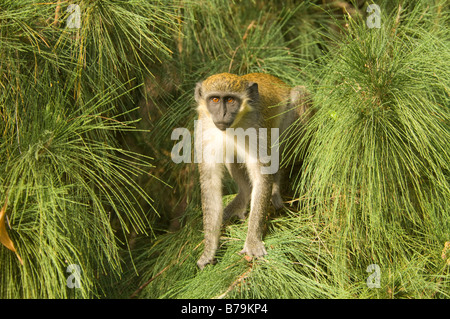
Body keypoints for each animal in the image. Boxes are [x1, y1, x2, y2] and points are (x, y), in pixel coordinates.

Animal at [193, 73, 310, 270]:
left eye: (230, 100)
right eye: (215, 99)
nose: (222, 114)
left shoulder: (256, 127)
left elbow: (261, 176)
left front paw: (253, 241)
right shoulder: (203, 128)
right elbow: (210, 183)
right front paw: (209, 249)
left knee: (298, 96)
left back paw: (277, 185)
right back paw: (244, 195)